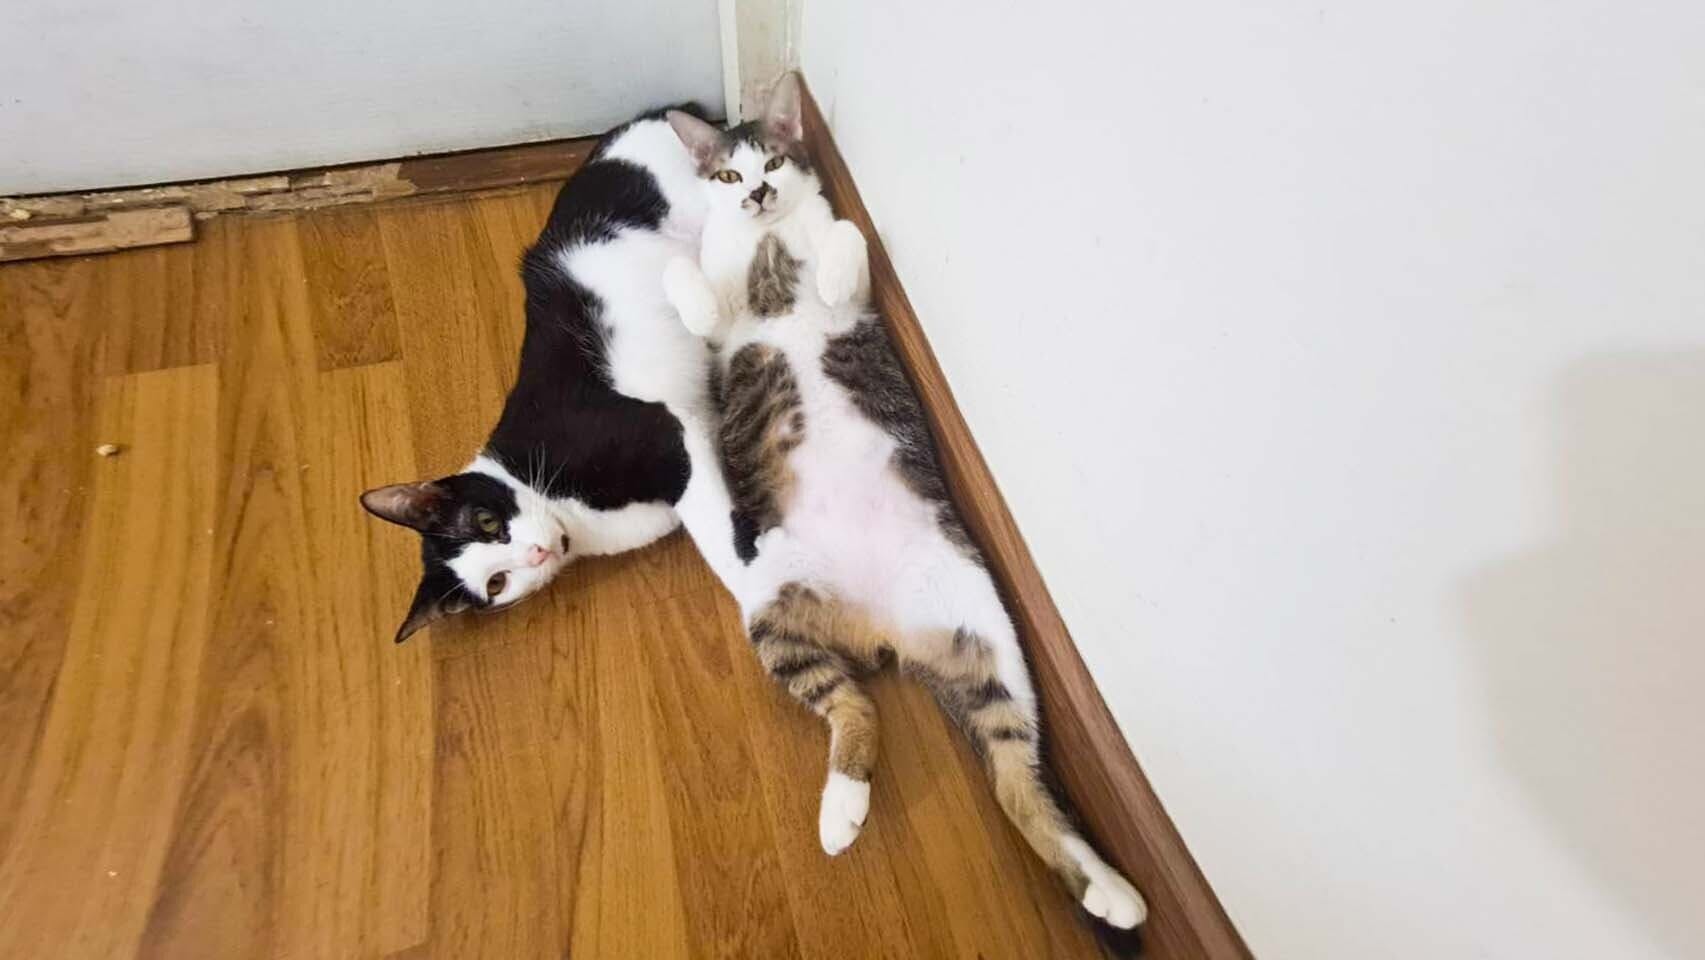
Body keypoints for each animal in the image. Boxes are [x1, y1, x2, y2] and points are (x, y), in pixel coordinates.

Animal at [661, 74, 1148, 932]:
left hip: (985, 634)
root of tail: (878, 626)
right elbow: (683, 279)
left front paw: (822, 271)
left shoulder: (851, 280)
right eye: (724, 174)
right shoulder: (724, 324)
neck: (768, 247)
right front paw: (696, 302)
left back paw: (1113, 895)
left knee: (1012, 772)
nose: (755, 192)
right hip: (780, 620)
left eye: (775, 161)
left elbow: (847, 232)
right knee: (856, 709)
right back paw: (842, 812)